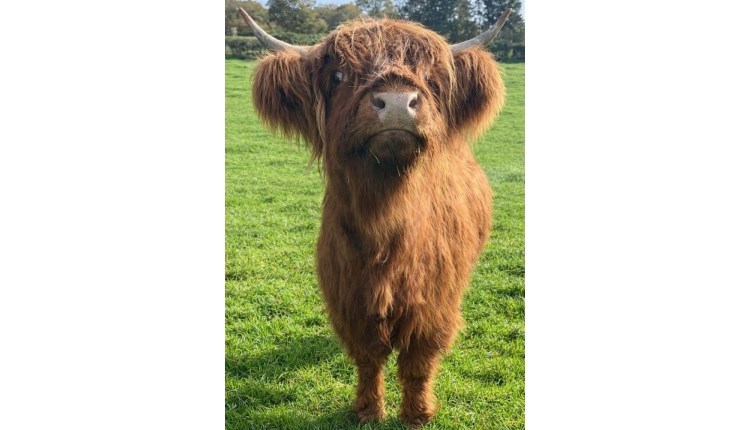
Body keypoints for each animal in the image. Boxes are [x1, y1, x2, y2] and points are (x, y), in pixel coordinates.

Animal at [240, 8, 510, 427]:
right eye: (338, 76)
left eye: (429, 76)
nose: (397, 102)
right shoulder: (349, 296)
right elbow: (368, 358)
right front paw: (367, 410)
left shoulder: (435, 303)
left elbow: (418, 362)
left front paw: (417, 414)